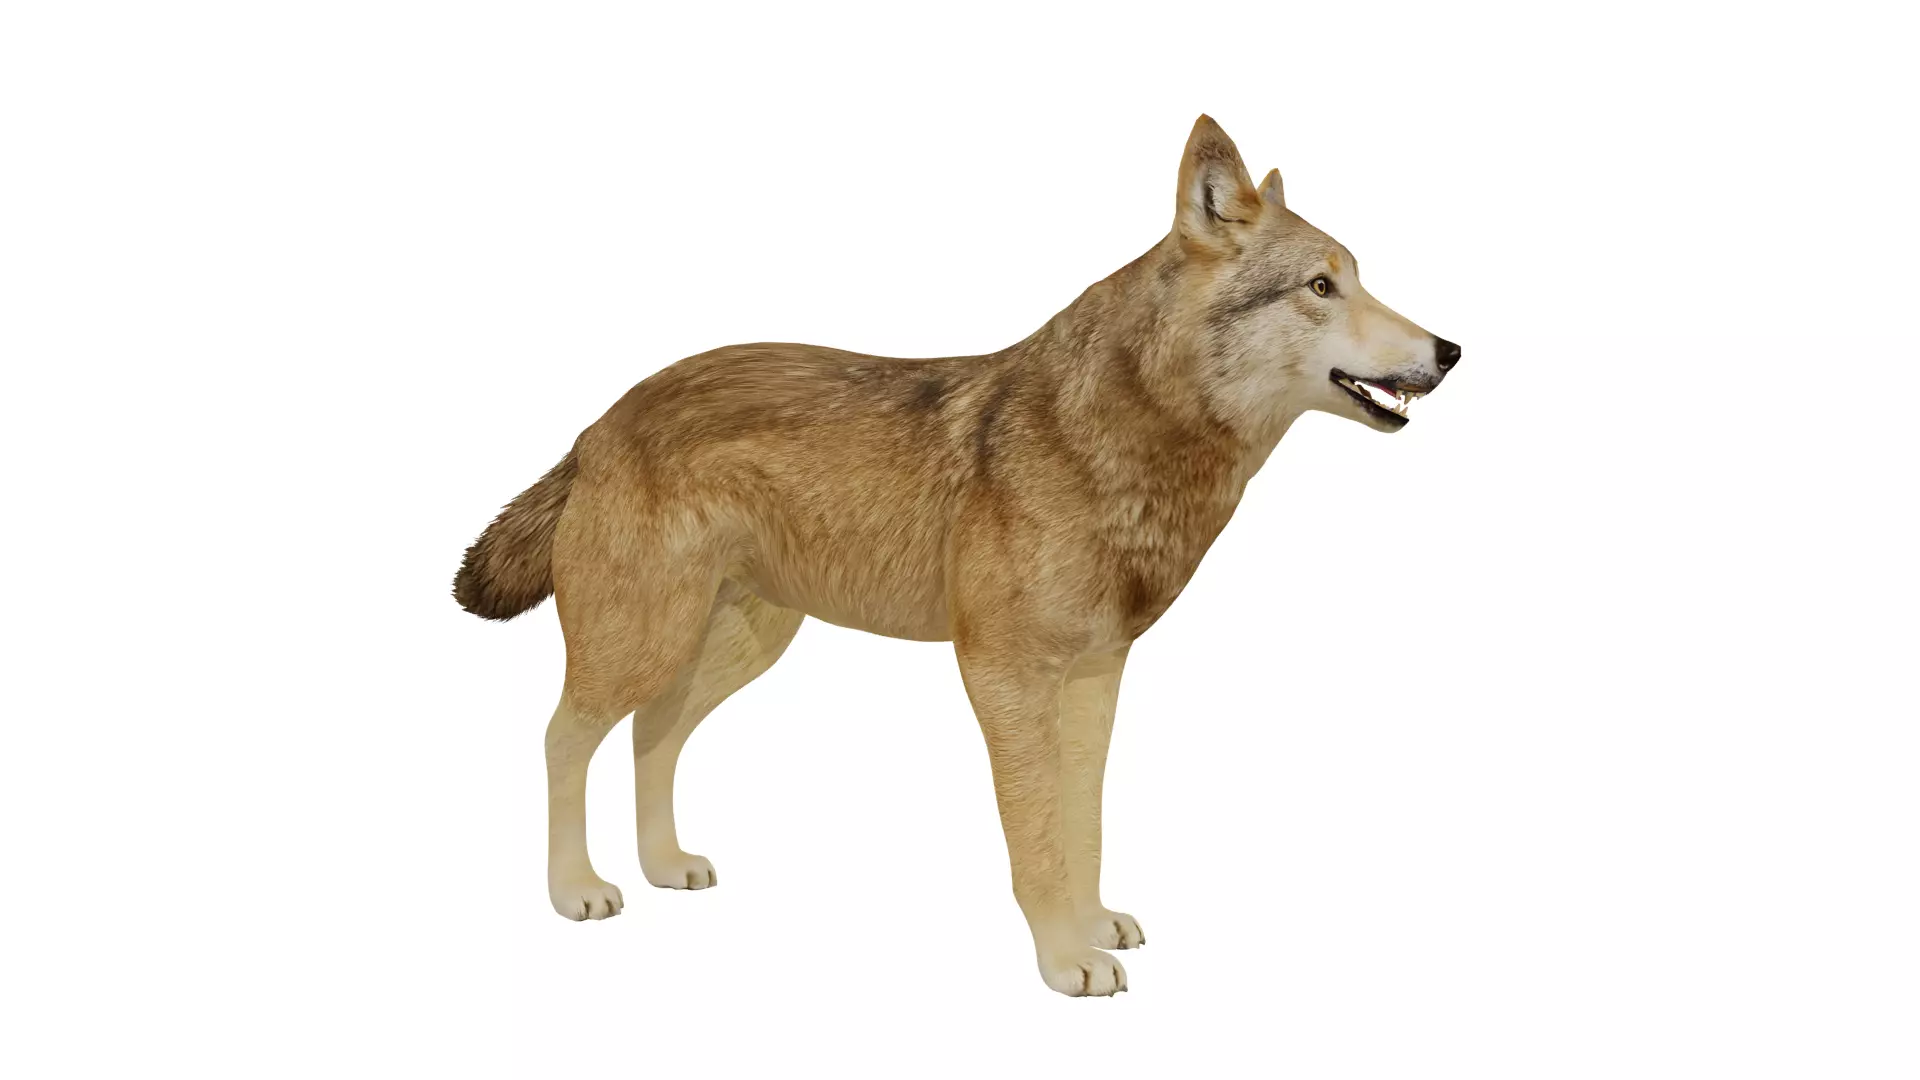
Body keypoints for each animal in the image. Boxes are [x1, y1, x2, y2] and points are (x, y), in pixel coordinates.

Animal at [454, 115, 1459, 996]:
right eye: (1322, 287)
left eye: (1358, 280)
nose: (1450, 349)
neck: (1120, 443)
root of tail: (600, 421)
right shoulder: (1003, 674)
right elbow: (1037, 837)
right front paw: (1065, 962)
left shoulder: (1094, 678)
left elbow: (1083, 820)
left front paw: (1090, 925)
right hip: (645, 641)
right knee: (561, 737)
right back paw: (575, 890)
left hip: (733, 647)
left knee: (652, 737)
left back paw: (664, 866)